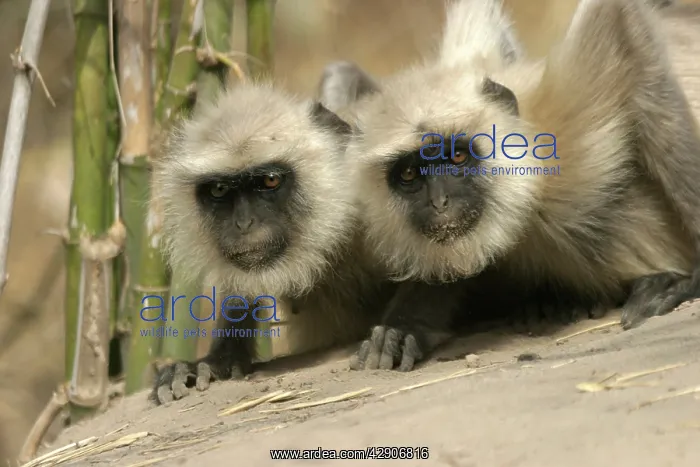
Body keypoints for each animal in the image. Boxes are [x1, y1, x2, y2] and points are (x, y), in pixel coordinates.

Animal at [314, 0, 700, 372]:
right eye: (409, 174)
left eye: (457, 157)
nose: (440, 201)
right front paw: (405, 326)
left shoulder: (566, 133)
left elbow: (621, 22)